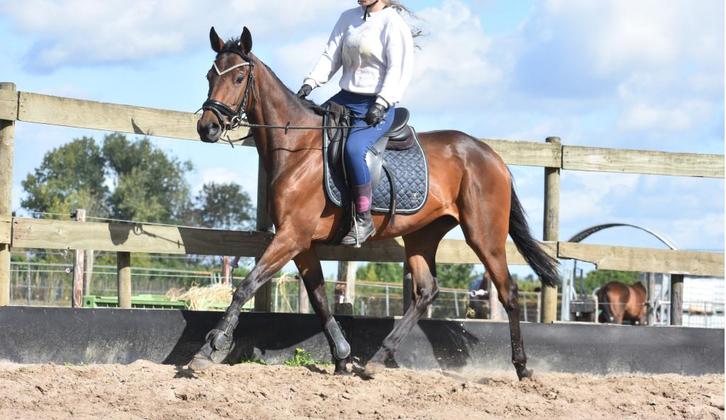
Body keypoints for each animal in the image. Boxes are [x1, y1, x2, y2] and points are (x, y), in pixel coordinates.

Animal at [191, 26, 559, 381]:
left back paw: (522, 366)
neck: (297, 147)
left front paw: (211, 347)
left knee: (508, 291)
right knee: (426, 291)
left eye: (239, 77)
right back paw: (379, 358)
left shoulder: (292, 236)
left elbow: (246, 286)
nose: (207, 127)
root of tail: (491, 155)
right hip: (422, 234)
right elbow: (320, 299)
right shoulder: (302, 242)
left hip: (484, 234)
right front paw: (341, 356)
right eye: (209, 75)